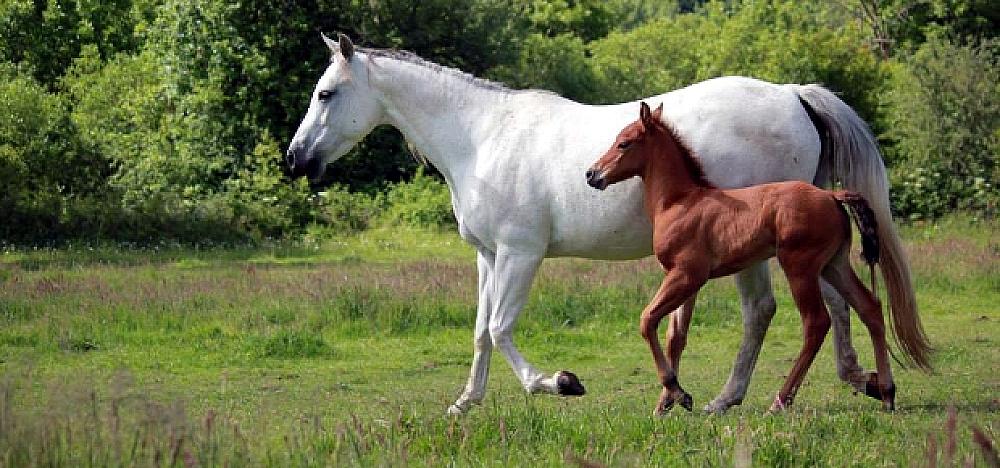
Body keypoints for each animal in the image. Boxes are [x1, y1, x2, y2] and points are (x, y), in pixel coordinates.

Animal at [586, 102, 931, 413]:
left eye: (624, 142)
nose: (592, 174)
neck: (679, 201)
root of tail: (832, 195)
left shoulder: (687, 274)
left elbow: (647, 320)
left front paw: (678, 392)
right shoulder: (683, 278)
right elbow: (675, 334)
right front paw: (669, 402)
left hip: (799, 267)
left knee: (817, 322)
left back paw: (780, 401)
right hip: (834, 264)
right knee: (870, 307)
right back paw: (886, 392)